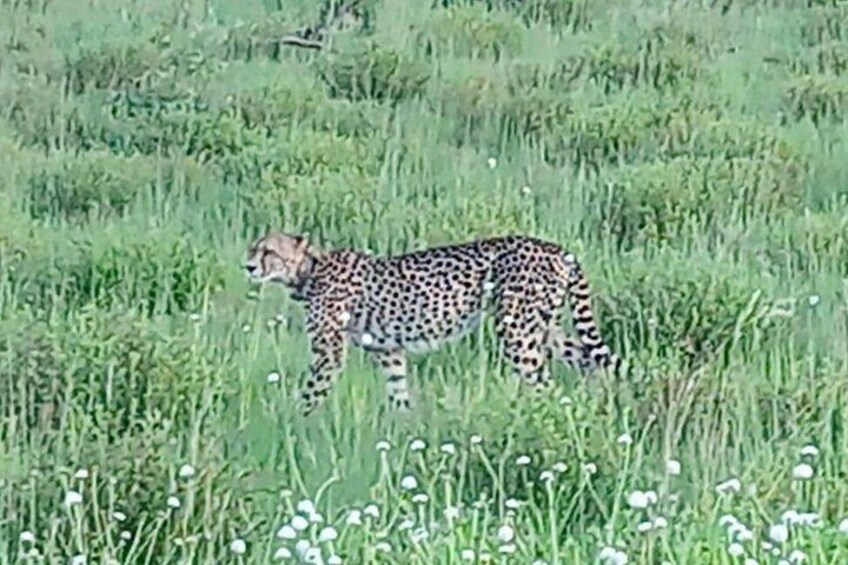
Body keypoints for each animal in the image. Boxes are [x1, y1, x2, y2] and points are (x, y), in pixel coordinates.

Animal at [245, 231, 620, 416]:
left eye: (269, 252)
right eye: (253, 248)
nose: (248, 266)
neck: (309, 271)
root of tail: (556, 248)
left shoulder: (329, 353)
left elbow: (311, 392)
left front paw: (291, 423)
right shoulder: (389, 351)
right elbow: (398, 393)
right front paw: (404, 433)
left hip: (516, 328)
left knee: (543, 381)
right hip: (544, 327)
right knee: (594, 359)